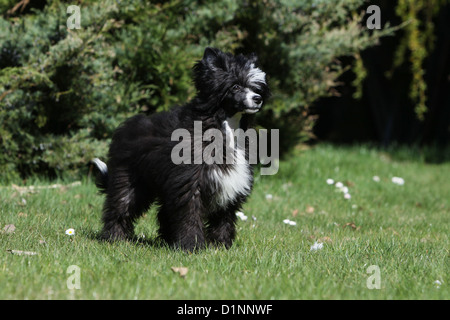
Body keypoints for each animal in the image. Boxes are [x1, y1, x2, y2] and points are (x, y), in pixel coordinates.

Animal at [89, 47, 268, 250]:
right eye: (235, 86)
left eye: (256, 88)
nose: (258, 99)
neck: (224, 125)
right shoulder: (190, 181)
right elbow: (190, 214)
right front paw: (192, 246)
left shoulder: (229, 182)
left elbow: (224, 217)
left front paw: (221, 246)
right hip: (130, 179)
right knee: (121, 205)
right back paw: (115, 238)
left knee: (164, 213)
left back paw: (167, 240)